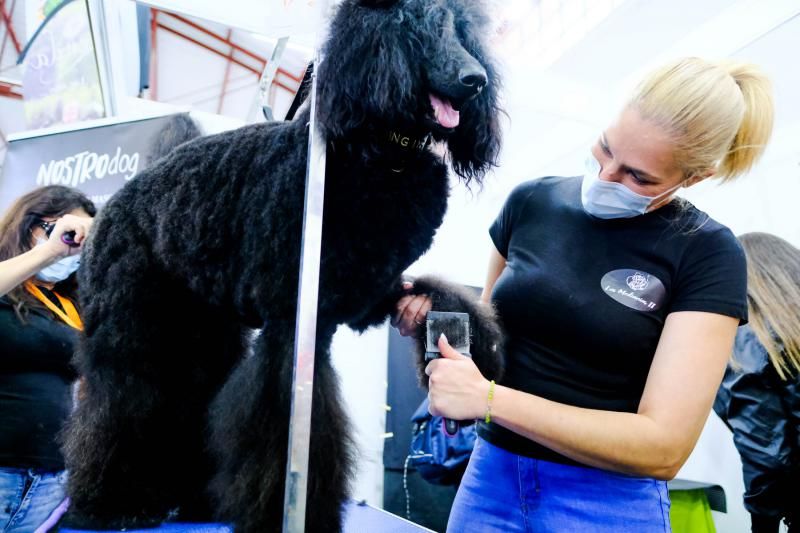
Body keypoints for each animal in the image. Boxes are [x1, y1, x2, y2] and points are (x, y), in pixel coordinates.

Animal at [61, 2, 500, 528]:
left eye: (464, 31)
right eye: (415, 29)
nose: (475, 79)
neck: (374, 156)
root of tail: (117, 203)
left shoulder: (369, 295)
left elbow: (443, 294)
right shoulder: (292, 326)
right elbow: (284, 424)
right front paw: (285, 514)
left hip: (202, 333)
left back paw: (193, 500)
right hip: (131, 331)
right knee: (119, 402)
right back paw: (113, 504)